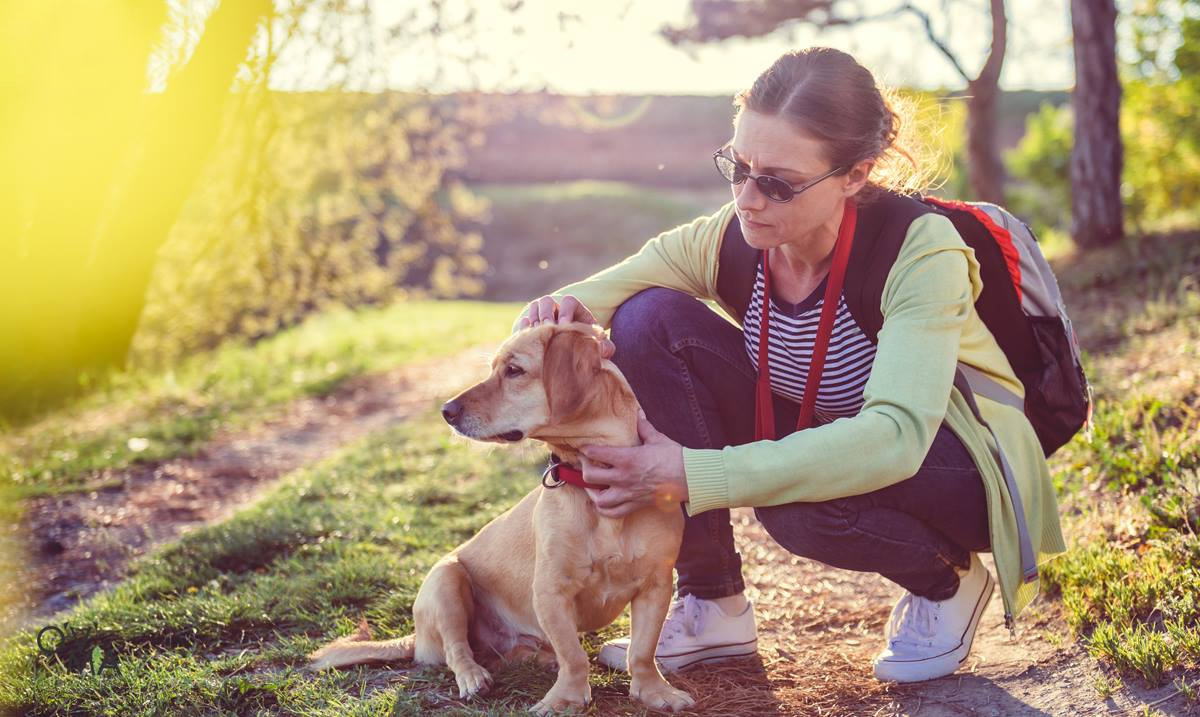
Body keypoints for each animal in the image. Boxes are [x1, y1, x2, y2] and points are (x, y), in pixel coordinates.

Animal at [307, 323, 696, 714]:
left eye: (514, 370)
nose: (446, 410)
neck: (591, 481)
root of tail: (416, 638)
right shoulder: (550, 591)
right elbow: (574, 657)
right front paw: (565, 699)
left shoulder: (656, 585)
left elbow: (642, 651)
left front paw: (655, 691)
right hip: (446, 581)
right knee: (457, 650)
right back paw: (473, 677)